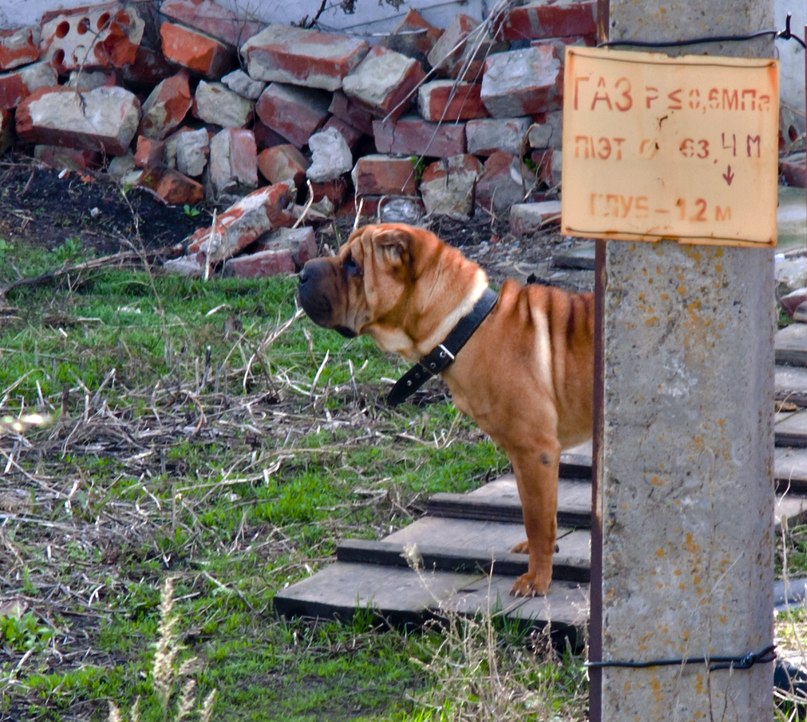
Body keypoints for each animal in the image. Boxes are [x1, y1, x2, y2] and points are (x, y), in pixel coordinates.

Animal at [296, 222, 592, 592]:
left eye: (353, 265)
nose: (302, 273)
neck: (464, 326)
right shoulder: (528, 457)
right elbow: (537, 509)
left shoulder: (534, 450)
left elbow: (537, 517)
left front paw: (536, 579)